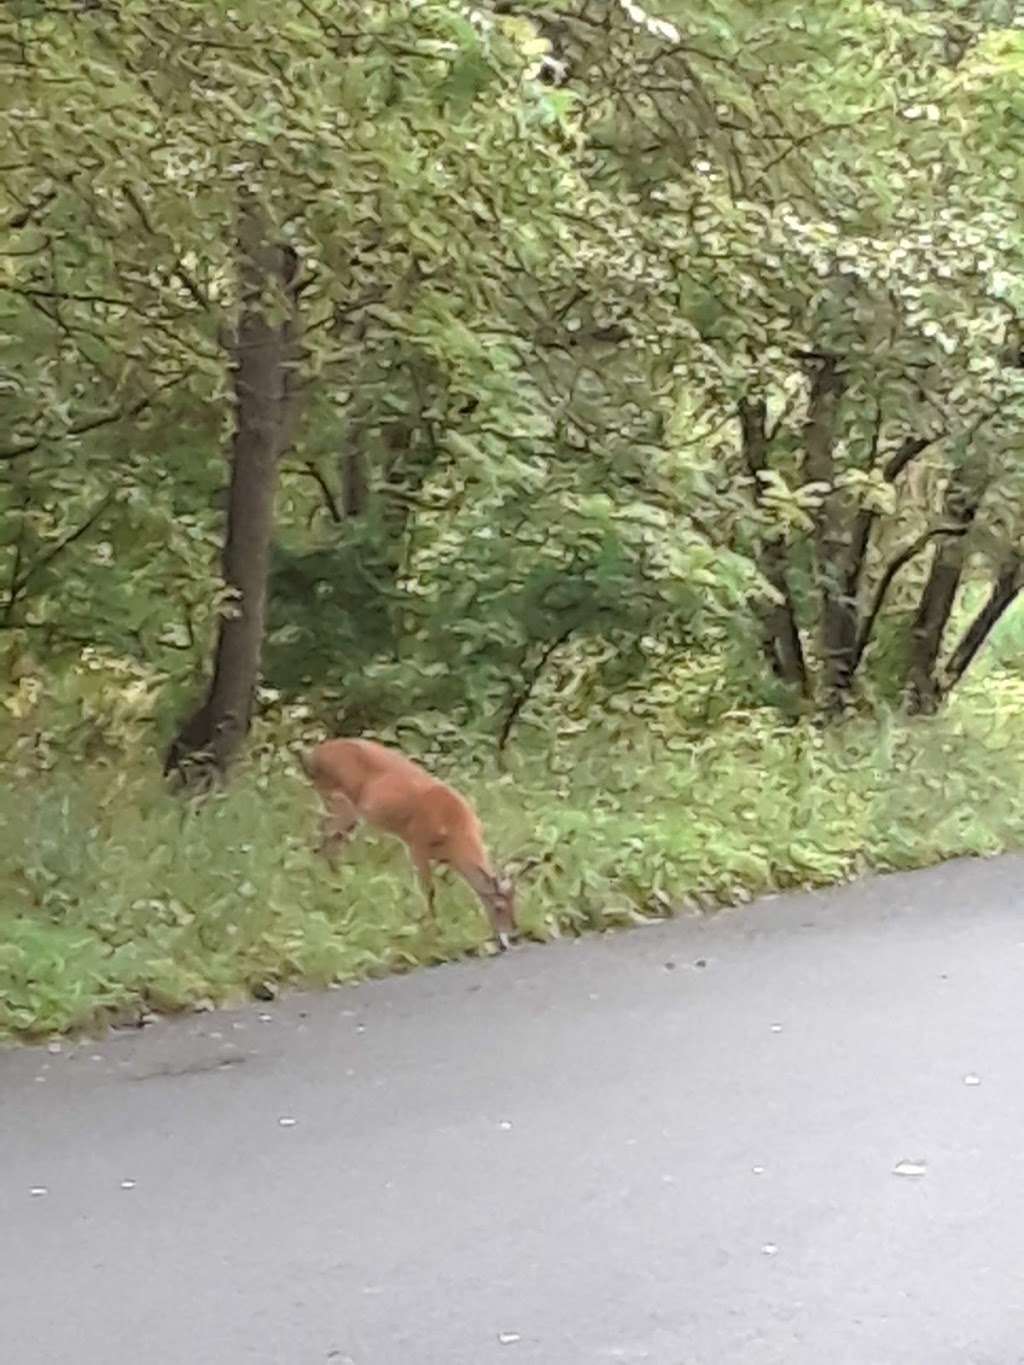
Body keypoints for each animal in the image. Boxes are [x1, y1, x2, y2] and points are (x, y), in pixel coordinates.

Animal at [300, 737, 516, 950]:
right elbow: (429, 891)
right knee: (319, 838)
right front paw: (432, 933)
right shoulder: (416, 845)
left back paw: (334, 885)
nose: (512, 934)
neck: (455, 833)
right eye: (499, 907)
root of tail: (313, 755)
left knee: (329, 843)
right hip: (338, 801)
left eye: (516, 902)